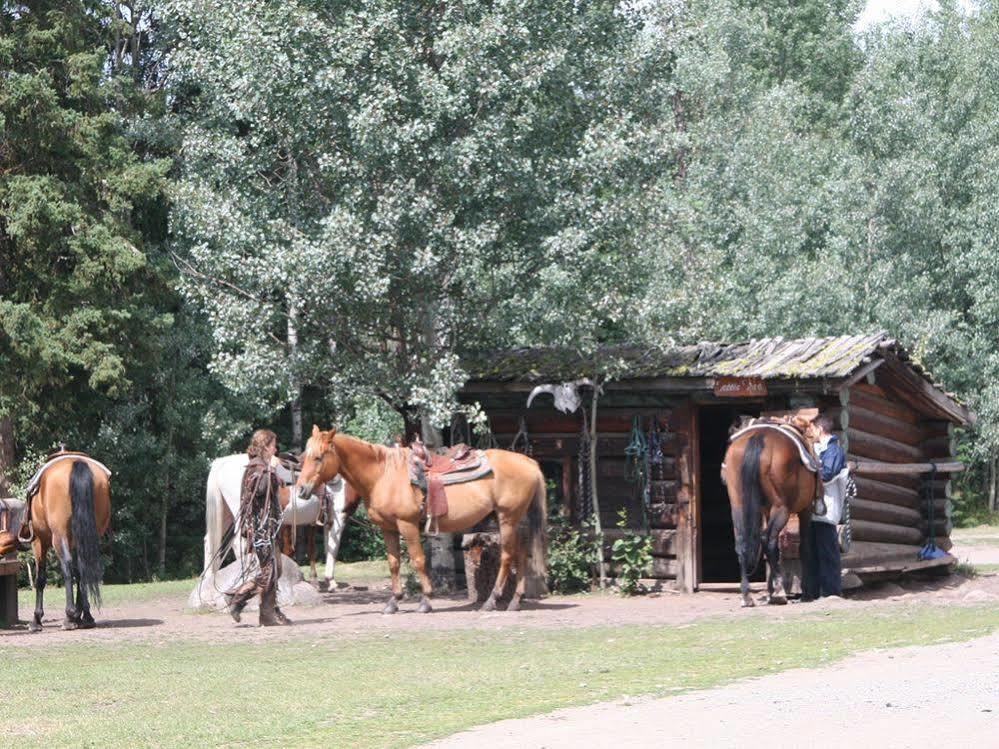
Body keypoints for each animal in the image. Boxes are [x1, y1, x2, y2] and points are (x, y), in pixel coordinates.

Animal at [0, 456, 111, 632]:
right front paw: (82, 614)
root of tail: (76, 462)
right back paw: (85, 617)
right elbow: (79, 573)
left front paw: (36, 619)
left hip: (58, 537)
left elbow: (40, 578)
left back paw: (69, 616)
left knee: (66, 566)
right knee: (83, 567)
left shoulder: (39, 543)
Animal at [201, 456, 350, 592]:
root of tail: (222, 462)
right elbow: (330, 548)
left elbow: (311, 548)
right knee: (239, 543)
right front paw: (329, 581)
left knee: (210, 542)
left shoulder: (310, 522)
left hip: (225, 513)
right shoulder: (336, 518)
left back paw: (208, 578)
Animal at [296, 426, 548, 612]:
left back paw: (491, 601)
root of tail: (529, 462)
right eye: (303, 458)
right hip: (514, 520)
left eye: (318, 458)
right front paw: (394, 601)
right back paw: (514, 602)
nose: (301, 490)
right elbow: (394, 563)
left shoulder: (407, 525)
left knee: (507, 557)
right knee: (521, 555)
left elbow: (418, 560)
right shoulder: (388, 528)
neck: (383, 475)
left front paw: (426, 600)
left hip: (507, 519)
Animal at [724, 426, 816, 608]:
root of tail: (759, 435)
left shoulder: (766, 511)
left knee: (742, 543)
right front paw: (807, 592)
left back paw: (748, 596)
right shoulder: (806, 509)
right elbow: (804, 547)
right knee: (768, 540)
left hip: (738, 505)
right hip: (782, 508)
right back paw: (779, 592)